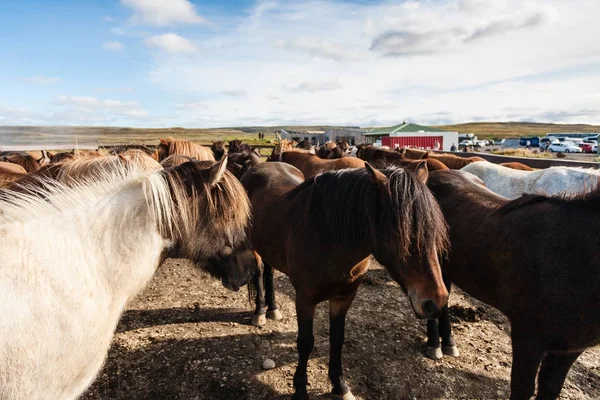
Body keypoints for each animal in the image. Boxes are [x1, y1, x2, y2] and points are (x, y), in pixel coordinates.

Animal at [241, 162, 448, 400]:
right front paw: (301, 389)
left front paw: (340, 385)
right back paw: (259, 312)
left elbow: (337, 339)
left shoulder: (343, 298)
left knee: (268, 273)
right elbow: (305, 342)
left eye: (434, 231)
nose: (436, 301)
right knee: (259, 273)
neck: (329, 237)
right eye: (401, 235)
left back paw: (272, 308)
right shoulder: (305, 300)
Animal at [426, 169, 600, 400]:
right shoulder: (527, 338)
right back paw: (434, 344)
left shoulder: (568, 350)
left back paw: (448, 343)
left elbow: (550, 388)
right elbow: (522, 388)